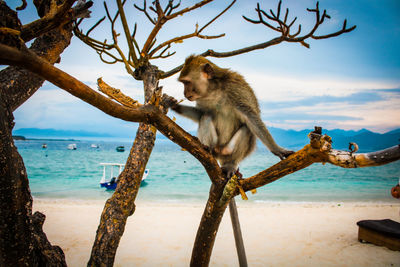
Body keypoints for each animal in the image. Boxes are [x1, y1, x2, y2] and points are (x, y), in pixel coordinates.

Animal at [166, 55, 294, 178]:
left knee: (247, 129)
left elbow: (251, 117)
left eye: (186, 82)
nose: (184, 93)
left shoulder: (236, 91)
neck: (214, 91)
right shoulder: (202, 99)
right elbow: (201, 113)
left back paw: (230, 164)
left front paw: (278, 150)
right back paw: (209, 148)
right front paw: (174, 105)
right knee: (206, 116)